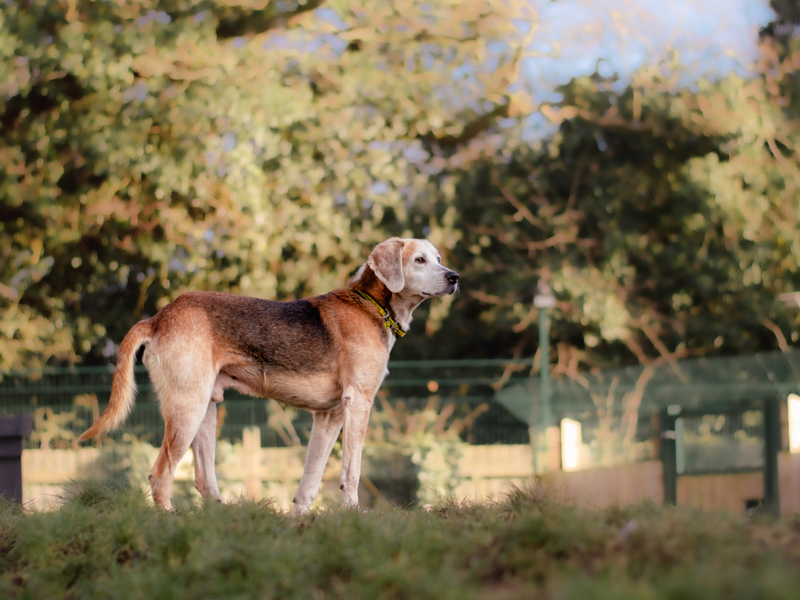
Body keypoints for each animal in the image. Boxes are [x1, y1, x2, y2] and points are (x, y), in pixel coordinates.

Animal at [79, 237, 462, 512]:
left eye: (438, 258)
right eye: (419, 260)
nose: (454, 277)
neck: (371, 304)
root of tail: (159, 317)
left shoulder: (330, 416)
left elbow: (310, 481)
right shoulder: (359, 404)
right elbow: (351, 473)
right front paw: (354, 518)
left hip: (205, 409)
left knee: (204, 482)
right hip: (187, 408)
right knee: (160, 475)